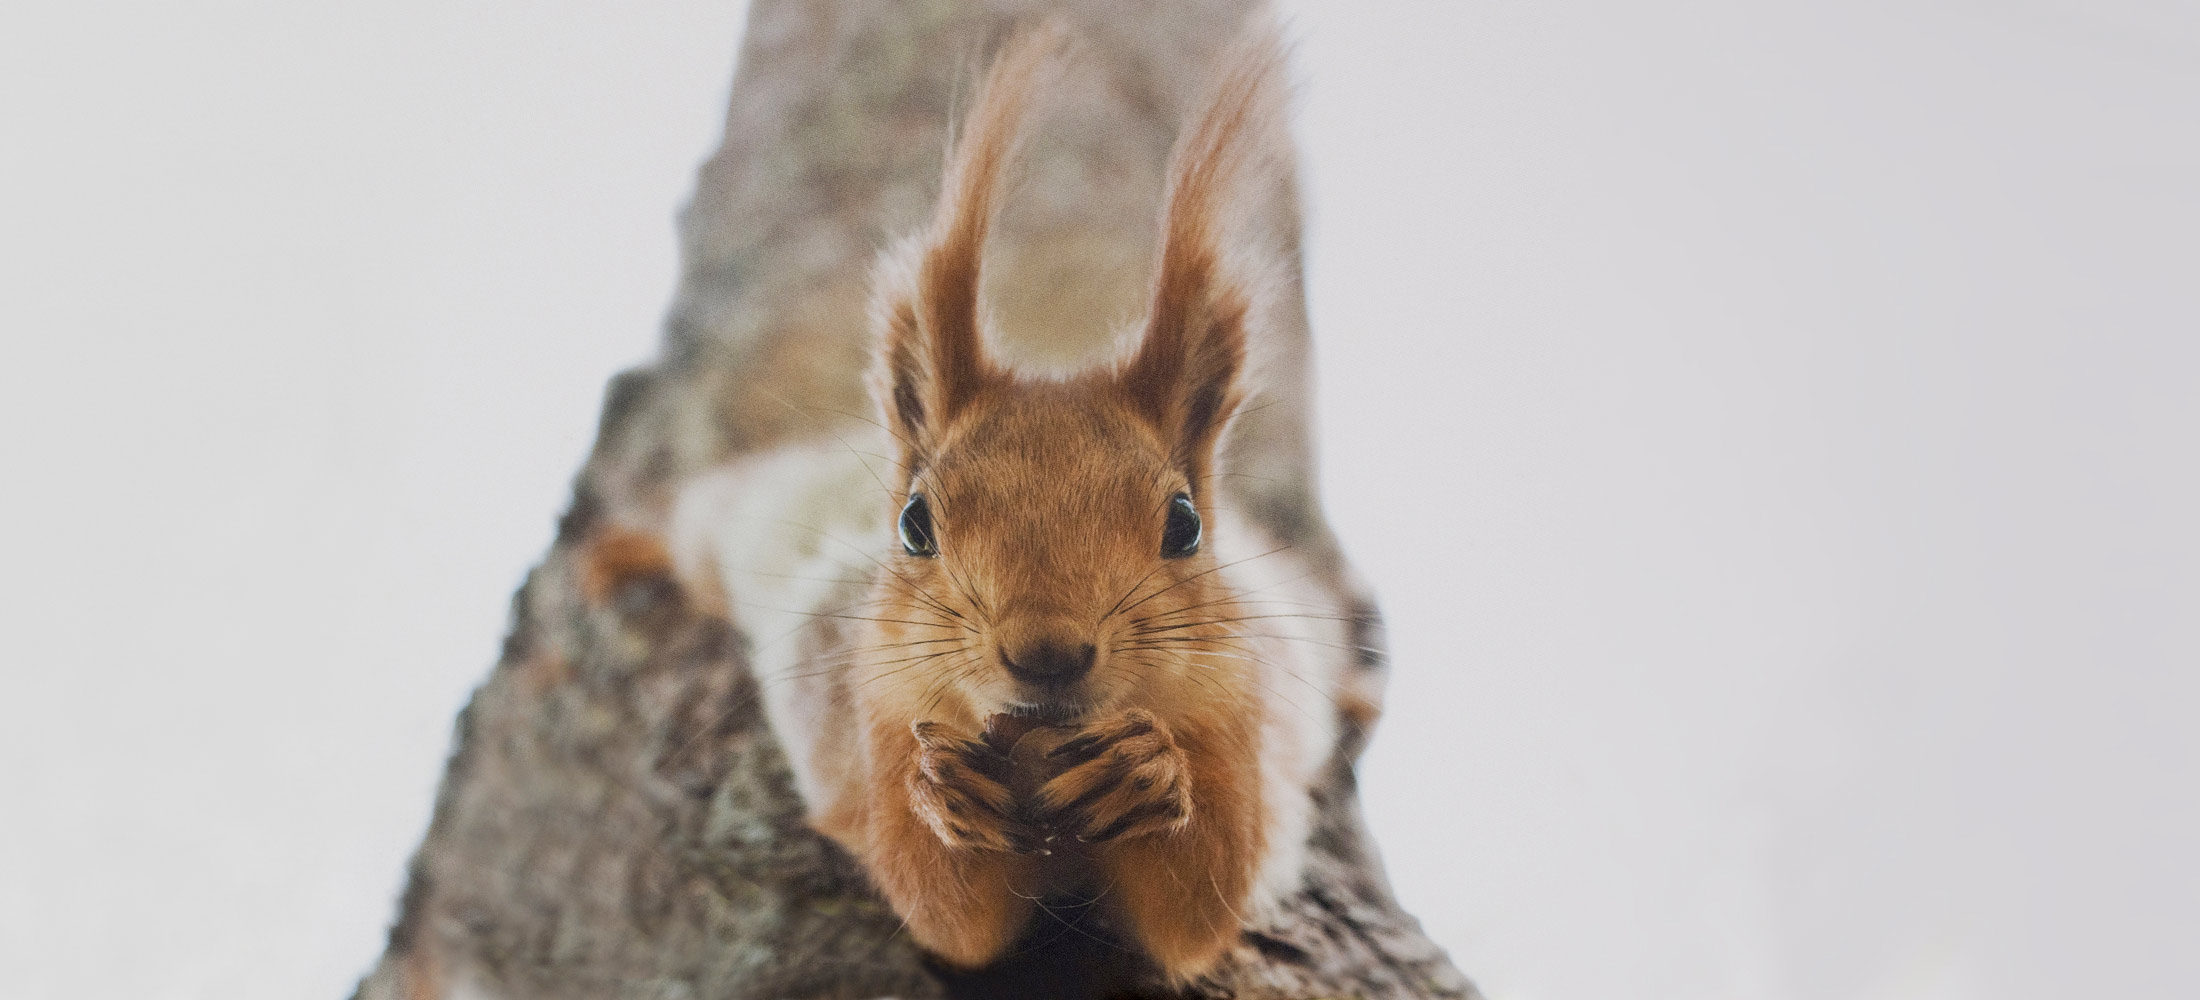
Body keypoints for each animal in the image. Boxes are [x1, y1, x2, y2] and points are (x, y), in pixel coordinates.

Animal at [667, 22, 1361, 981]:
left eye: (1185, 525)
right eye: (914, 524)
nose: (1047, 654)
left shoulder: (1241, 713)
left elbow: (1200, 903)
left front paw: (1148, 771)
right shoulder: (874, 714)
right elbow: (948, 914)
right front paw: (940, 795)